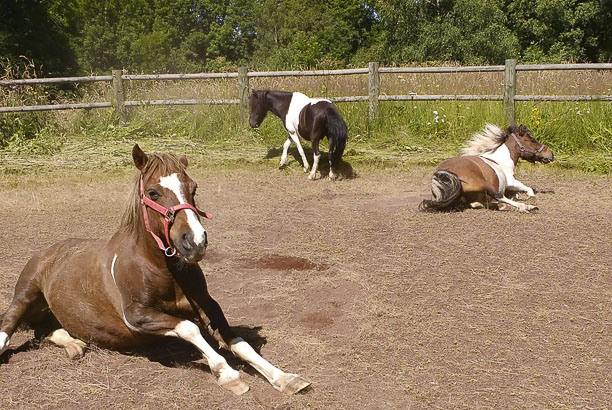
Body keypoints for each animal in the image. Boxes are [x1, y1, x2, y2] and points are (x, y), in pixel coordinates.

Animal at [420, 122, 556, 211]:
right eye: (532, 140)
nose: (551, 154)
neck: (501, 160)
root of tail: (442, 173)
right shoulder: (511, 182)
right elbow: (528, 189)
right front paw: (529, 200)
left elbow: (516, 193)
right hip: (482, 183)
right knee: (499, 197)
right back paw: (526, 207)